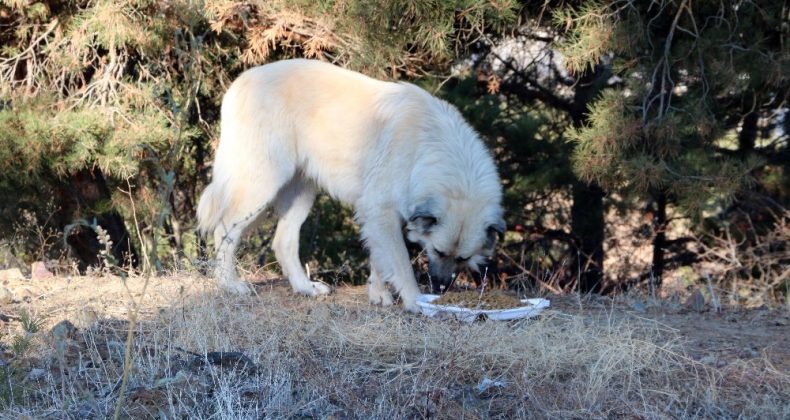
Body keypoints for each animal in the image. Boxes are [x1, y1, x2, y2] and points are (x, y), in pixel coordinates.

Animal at [200, 59, 508, 312]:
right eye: (439, 252)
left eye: (462, 258)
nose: (440, 289)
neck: (429, 147)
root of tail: (241, 82)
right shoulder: (380, 212)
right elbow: (400, 263)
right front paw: (414, 301)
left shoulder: (380, 216)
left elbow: (380, 260)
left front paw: (378, 295)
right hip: (263, 183)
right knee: (224, 229)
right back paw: (230, 285)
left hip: (302, 192)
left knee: (283, 241)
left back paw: (305, 288)